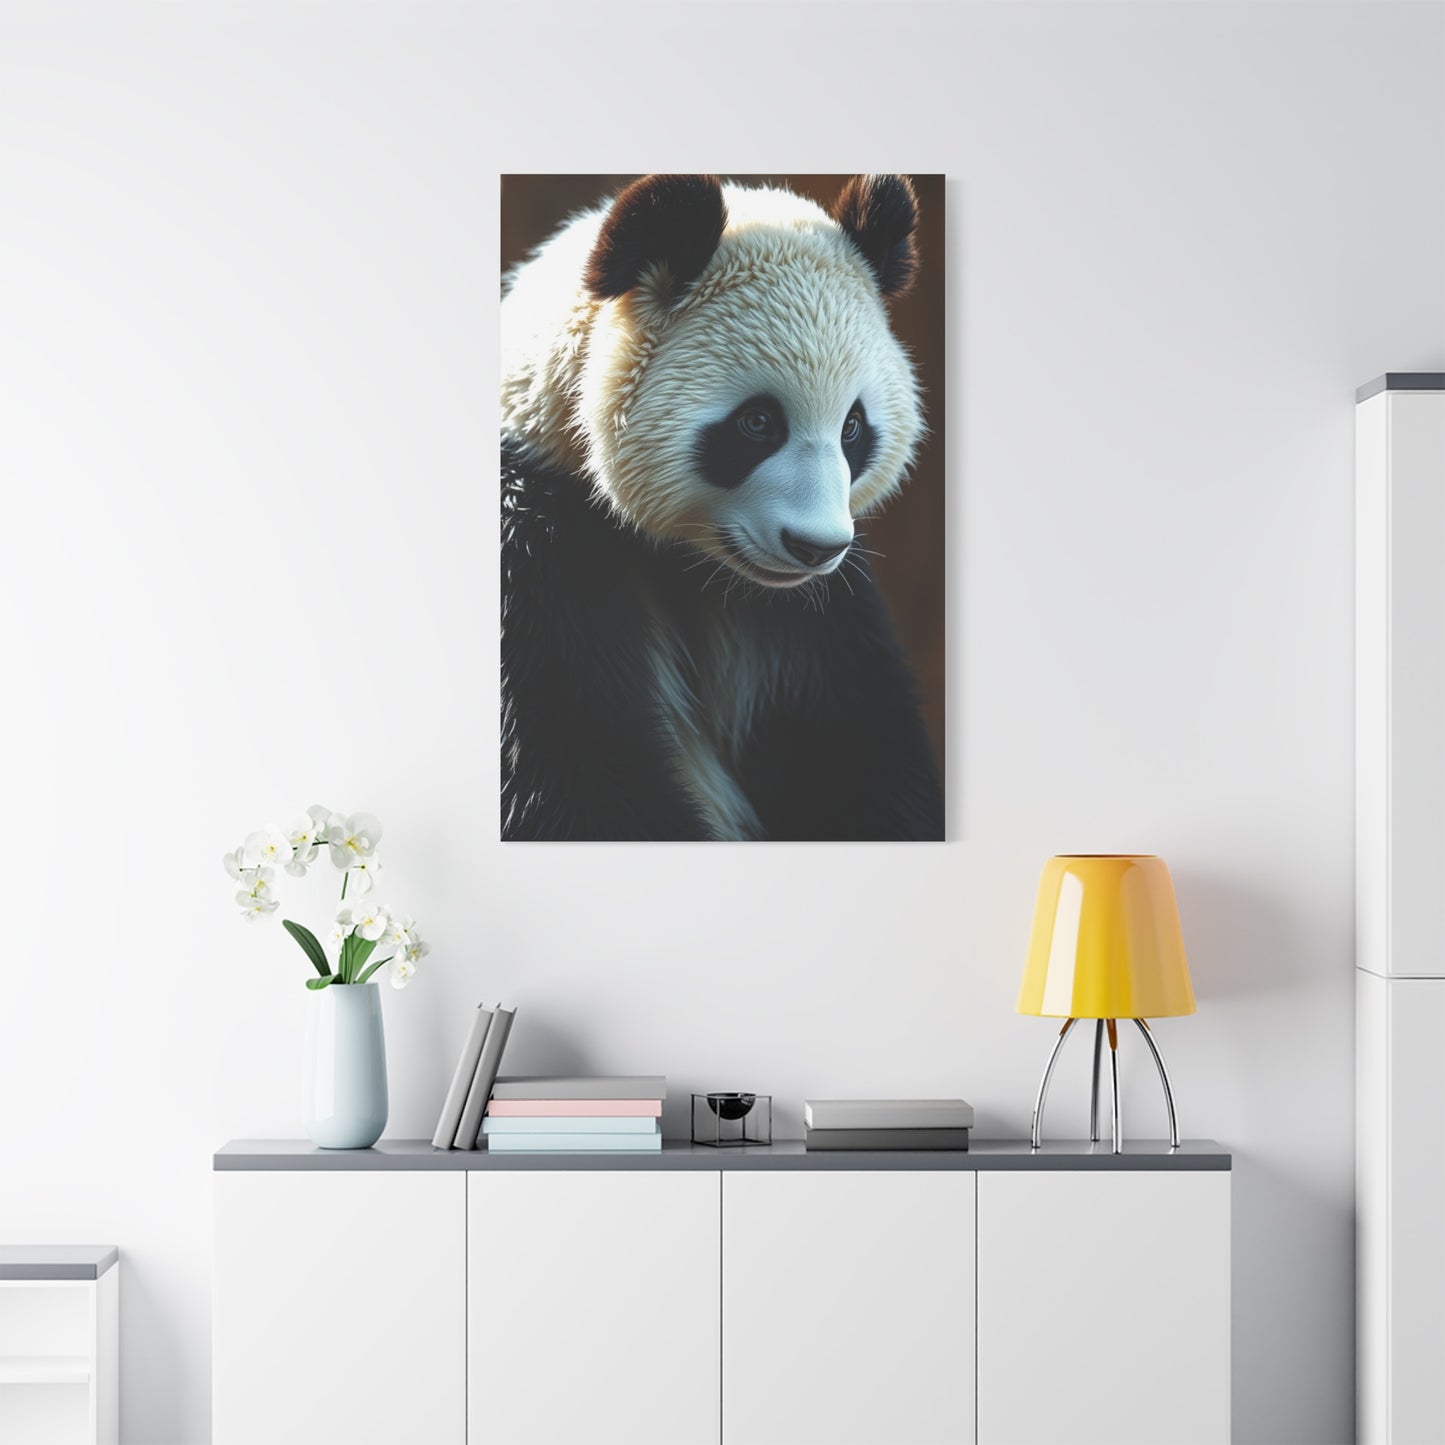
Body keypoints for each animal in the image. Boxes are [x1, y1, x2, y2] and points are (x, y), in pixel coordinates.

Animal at [501, 173, 944, 841]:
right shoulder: (537, 552)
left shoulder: (809, 619)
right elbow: (572, 772)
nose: (814, 548)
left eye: (853, 428)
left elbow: (857, 753)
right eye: (758, 423)